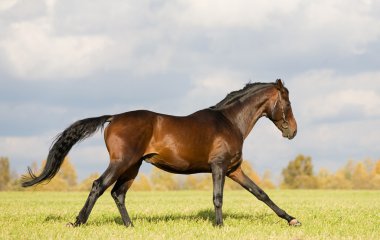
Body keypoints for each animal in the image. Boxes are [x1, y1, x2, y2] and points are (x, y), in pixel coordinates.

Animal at [21, 78, 300, 227]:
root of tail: (113, 118)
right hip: (121, 162)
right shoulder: (219, 167)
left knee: (118, 193)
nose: (293, 132)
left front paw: (291, 219)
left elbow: (260, 193)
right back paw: (78, 222)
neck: (229, 122)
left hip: (133, 167)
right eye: (287, 102)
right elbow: (218, 197)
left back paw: (130, 226)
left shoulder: (234, 169)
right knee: (98, 186)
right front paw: (220, 226)